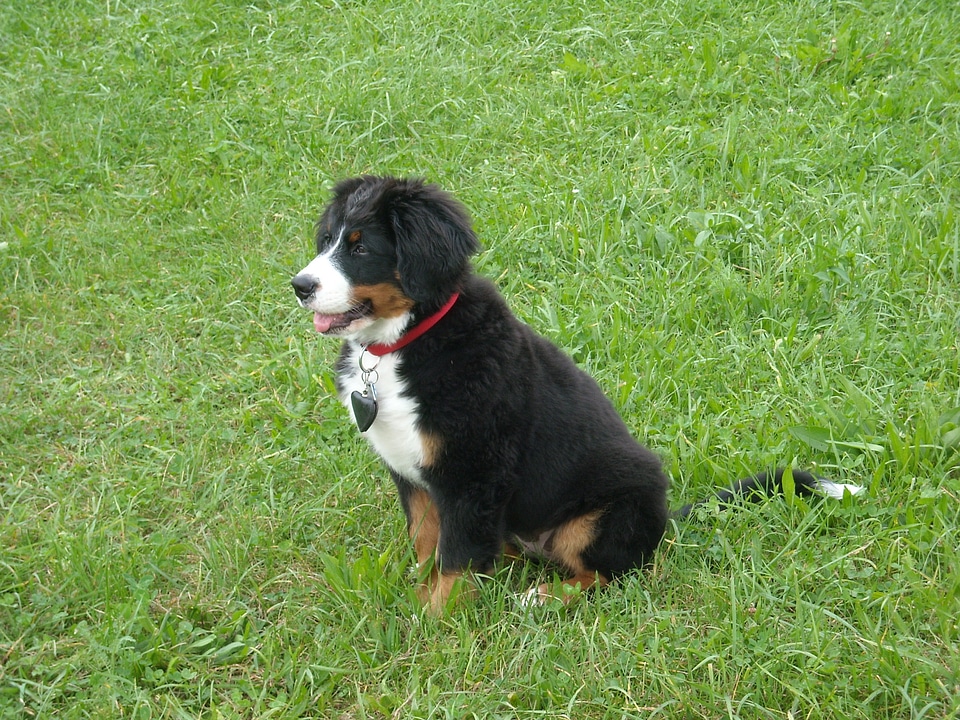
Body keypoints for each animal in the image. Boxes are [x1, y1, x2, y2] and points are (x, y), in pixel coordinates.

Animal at [288, 176, 860, 612]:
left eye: (361, 246)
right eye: (327, 241)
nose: (300, 286)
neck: (402, 343)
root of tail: (664, 520)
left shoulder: (472, 474)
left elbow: (456, 557)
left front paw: (435, 620)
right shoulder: (414, 474)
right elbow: (428, 540)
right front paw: (416, 593)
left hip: (601, 513)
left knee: (614, 572)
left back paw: (542, 596)